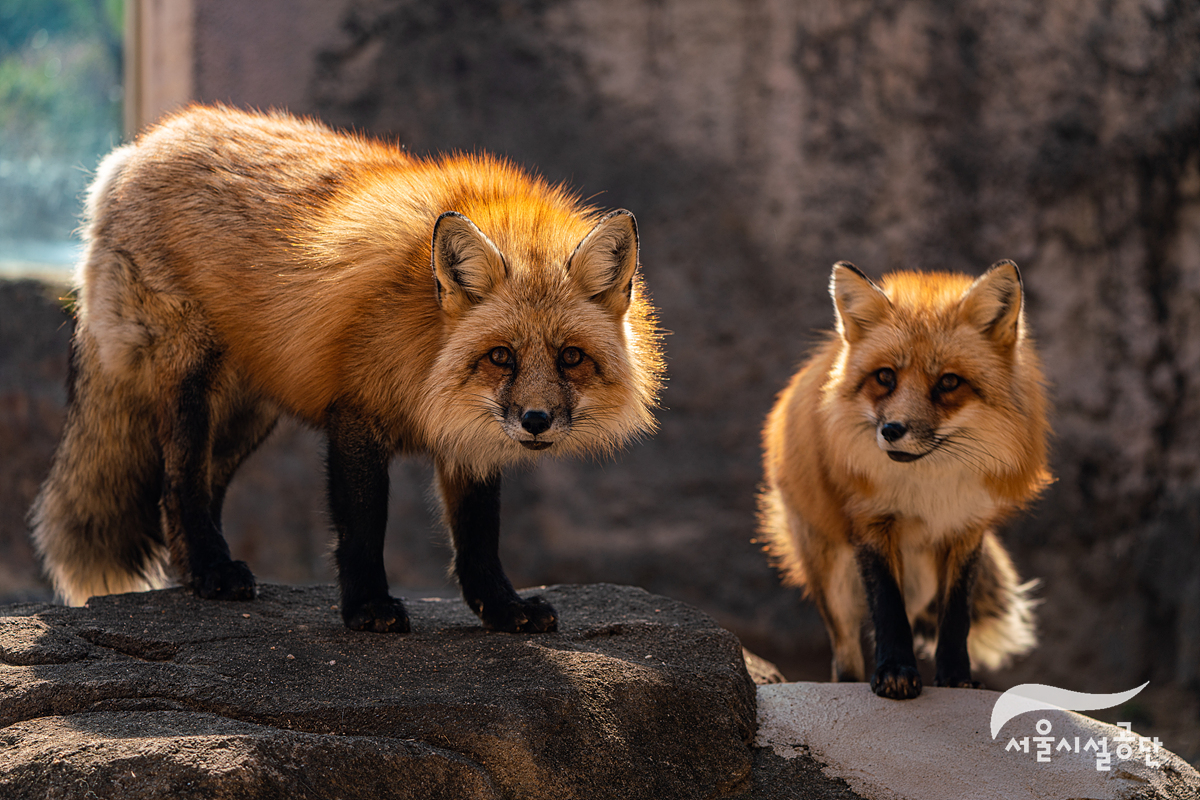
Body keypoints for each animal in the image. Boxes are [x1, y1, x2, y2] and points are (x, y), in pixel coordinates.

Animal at [28, 104, 667, 633]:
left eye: (571, 358)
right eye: (501, 356)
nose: (536, 421)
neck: (425, 341)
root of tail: (136, 147)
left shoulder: (470, 432)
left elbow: (479, 536)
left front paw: (502, 609)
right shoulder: (356, 414)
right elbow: (363, 526)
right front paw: (367, 608)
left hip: (245, 414)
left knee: (190, 490)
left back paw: (201, 570)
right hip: (191, 384)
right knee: (178, 482)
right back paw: (213, 572)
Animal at [758, 263, 1051, 700]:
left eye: (949, 382)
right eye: (885, 377)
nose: (892, 430)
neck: (926, 489)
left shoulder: (966, 528)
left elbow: (955, 615)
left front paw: (956, 679)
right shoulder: (871, 521)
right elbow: (887, 607)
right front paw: (895, 673)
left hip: (919, 578)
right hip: (831, 571)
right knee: (845, 655)